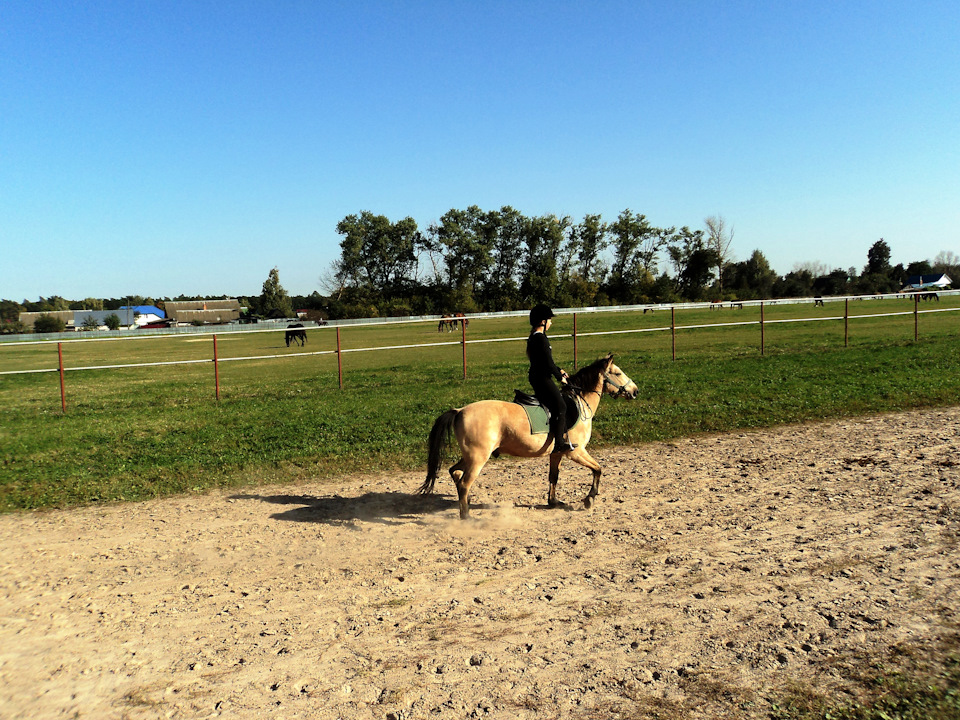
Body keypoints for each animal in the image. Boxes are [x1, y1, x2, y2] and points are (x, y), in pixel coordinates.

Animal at [418, 352, 636, 516]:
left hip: (471, 456)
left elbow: (553, 477)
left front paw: (553, 502)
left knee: (454, 472)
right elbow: (598, 469)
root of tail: (460, 410)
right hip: (478, 458)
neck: (579, 403)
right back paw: (466, 516)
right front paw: (589, 499)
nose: (635, 391)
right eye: (617, 372)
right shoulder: (576, 452)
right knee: (464, 483)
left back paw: (467, 502)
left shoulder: (557, 453)